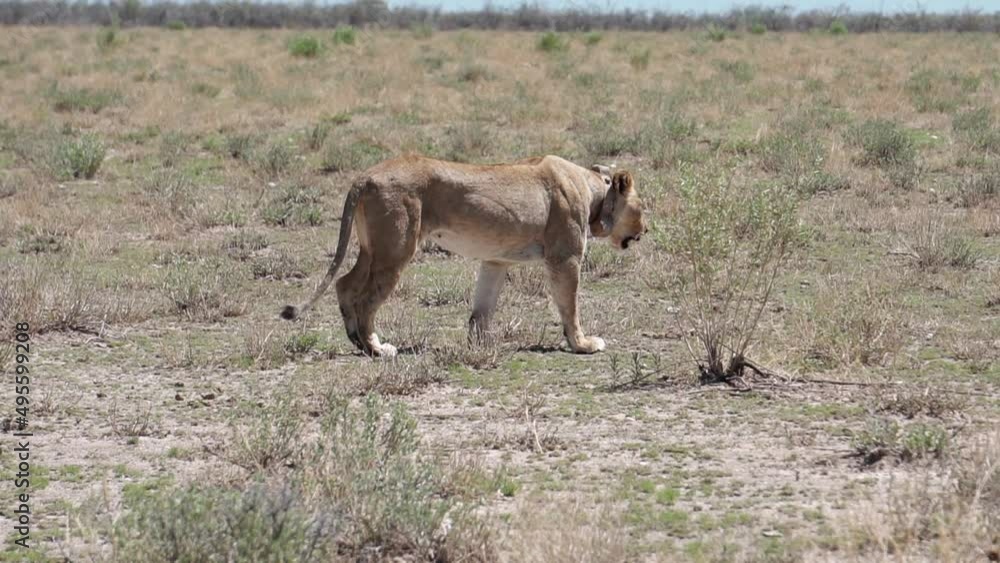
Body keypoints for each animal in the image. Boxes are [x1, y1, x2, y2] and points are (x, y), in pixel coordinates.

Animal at [280, 154, 646, 357]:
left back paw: (356, 340)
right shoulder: (565, 257)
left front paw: (482, 345)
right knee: (367, 299)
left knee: (344, 283)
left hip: (374, 250)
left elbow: (483, 308)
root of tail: (364, 175)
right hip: (395, 250)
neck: (594, 189)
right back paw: (375, 348)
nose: (646, 229)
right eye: (643, 208)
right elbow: (570, 306)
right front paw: (582, 344)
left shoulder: (496, 260)